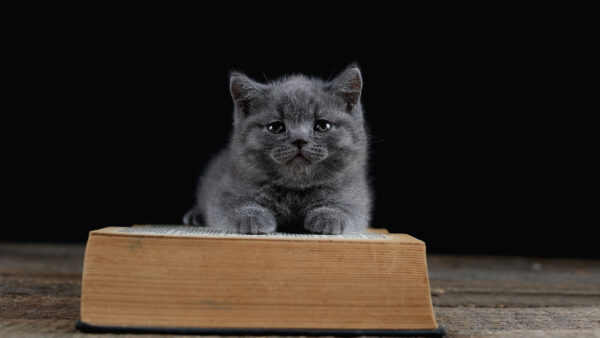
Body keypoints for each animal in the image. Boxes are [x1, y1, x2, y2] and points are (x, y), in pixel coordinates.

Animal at [183, 64, 370, 234]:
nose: (299, 140)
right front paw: (251, 216)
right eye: (276, 127)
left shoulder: (355, 193)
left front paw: (330, 216)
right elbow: (230, 205)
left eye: (322, 126)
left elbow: (349, 207)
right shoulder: (227, 187)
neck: (295, 190)